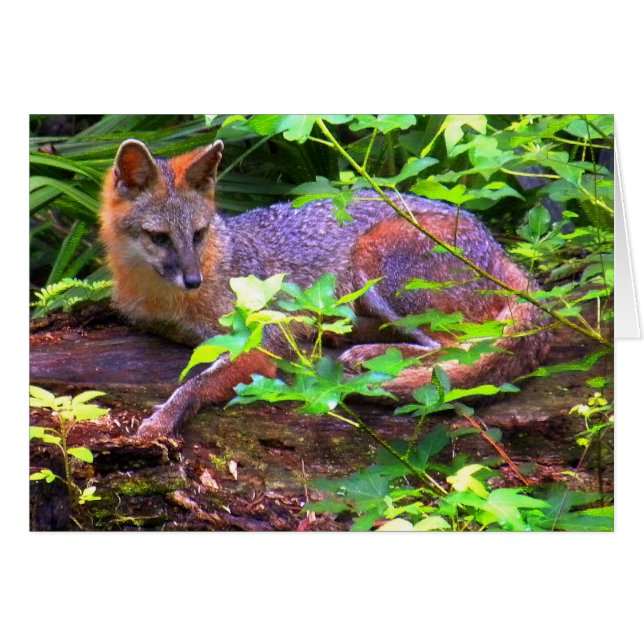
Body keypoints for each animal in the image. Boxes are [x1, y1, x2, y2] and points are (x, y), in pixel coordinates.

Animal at [99, 138, 550, 438]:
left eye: (198, 234)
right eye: (160, 238)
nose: (193, 280)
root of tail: (496, 245)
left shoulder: (263, 341)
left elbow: (193, 384)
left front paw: (164, 417)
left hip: (374, 259)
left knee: (459, 346)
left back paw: (370, 352)